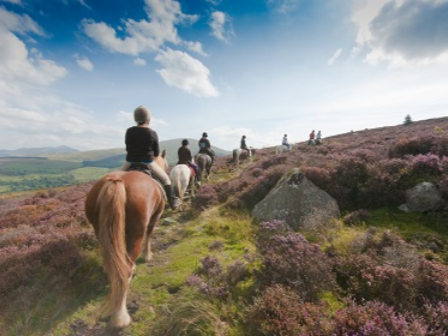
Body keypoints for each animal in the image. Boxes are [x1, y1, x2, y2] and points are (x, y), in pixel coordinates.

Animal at [84, 150, 168, 328]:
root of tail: (116, 183)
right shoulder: (154, 218)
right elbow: (149, 235)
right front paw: (147, 255)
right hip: (136, 232)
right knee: (125, 270)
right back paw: (120, 317)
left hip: (102, 232)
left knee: (115, 267)